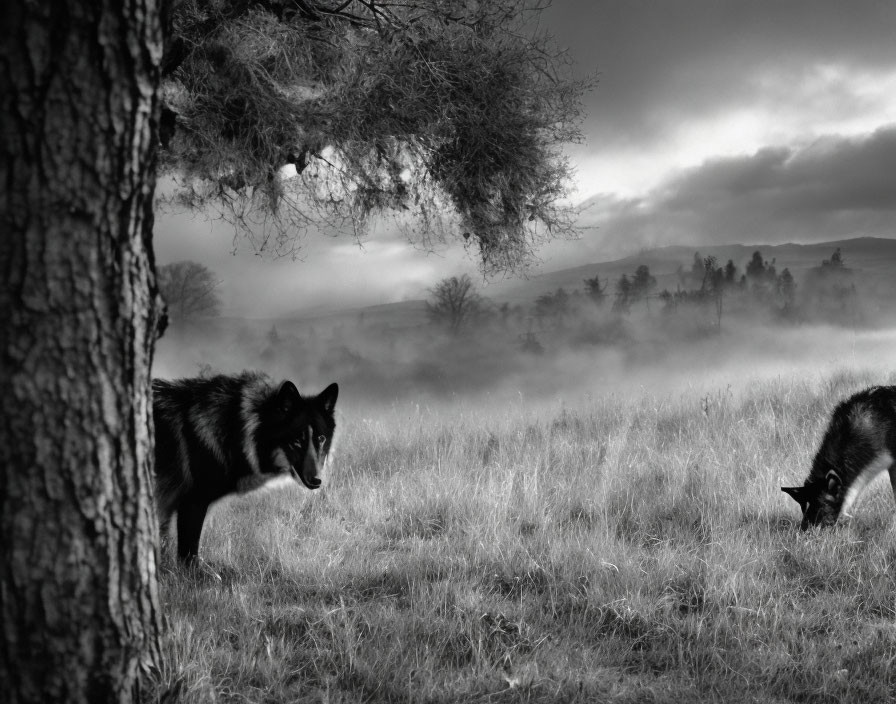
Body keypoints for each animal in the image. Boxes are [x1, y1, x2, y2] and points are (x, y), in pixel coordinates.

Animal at [152, 372, 338, 564]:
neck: (234, 429)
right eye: (297, 440)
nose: (317, 480)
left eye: (321, 438)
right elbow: (189, 557)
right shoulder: (191, 504)